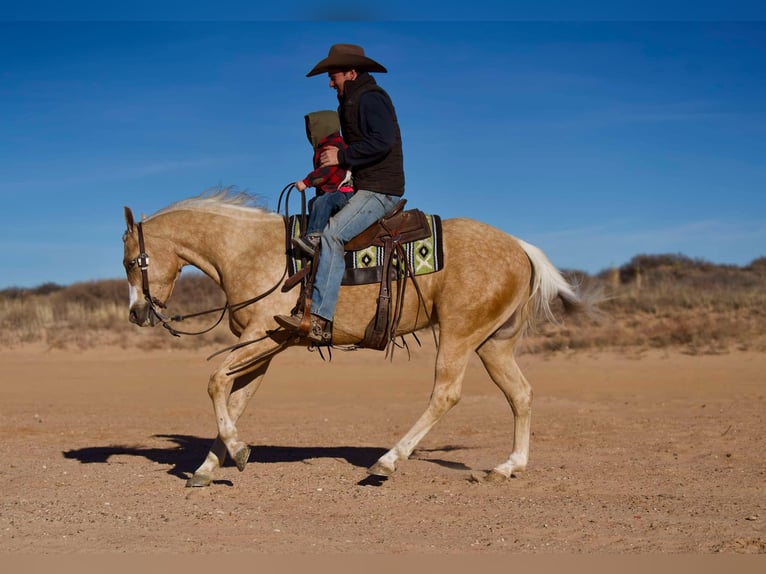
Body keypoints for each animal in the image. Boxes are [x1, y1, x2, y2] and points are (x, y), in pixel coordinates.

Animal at [121, 189, 598, 487]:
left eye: (130, 261)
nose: (137, 313)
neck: (249, 250)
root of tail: (521, 248)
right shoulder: (264, 346)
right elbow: (236, 398)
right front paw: (209, 467)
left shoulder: (262, 336)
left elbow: (215, 382)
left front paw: (235, 453)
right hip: (493, 342)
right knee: (521, 394)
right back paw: (508, 467)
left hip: (459, 335)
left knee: (446, 394)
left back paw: (388, 461)